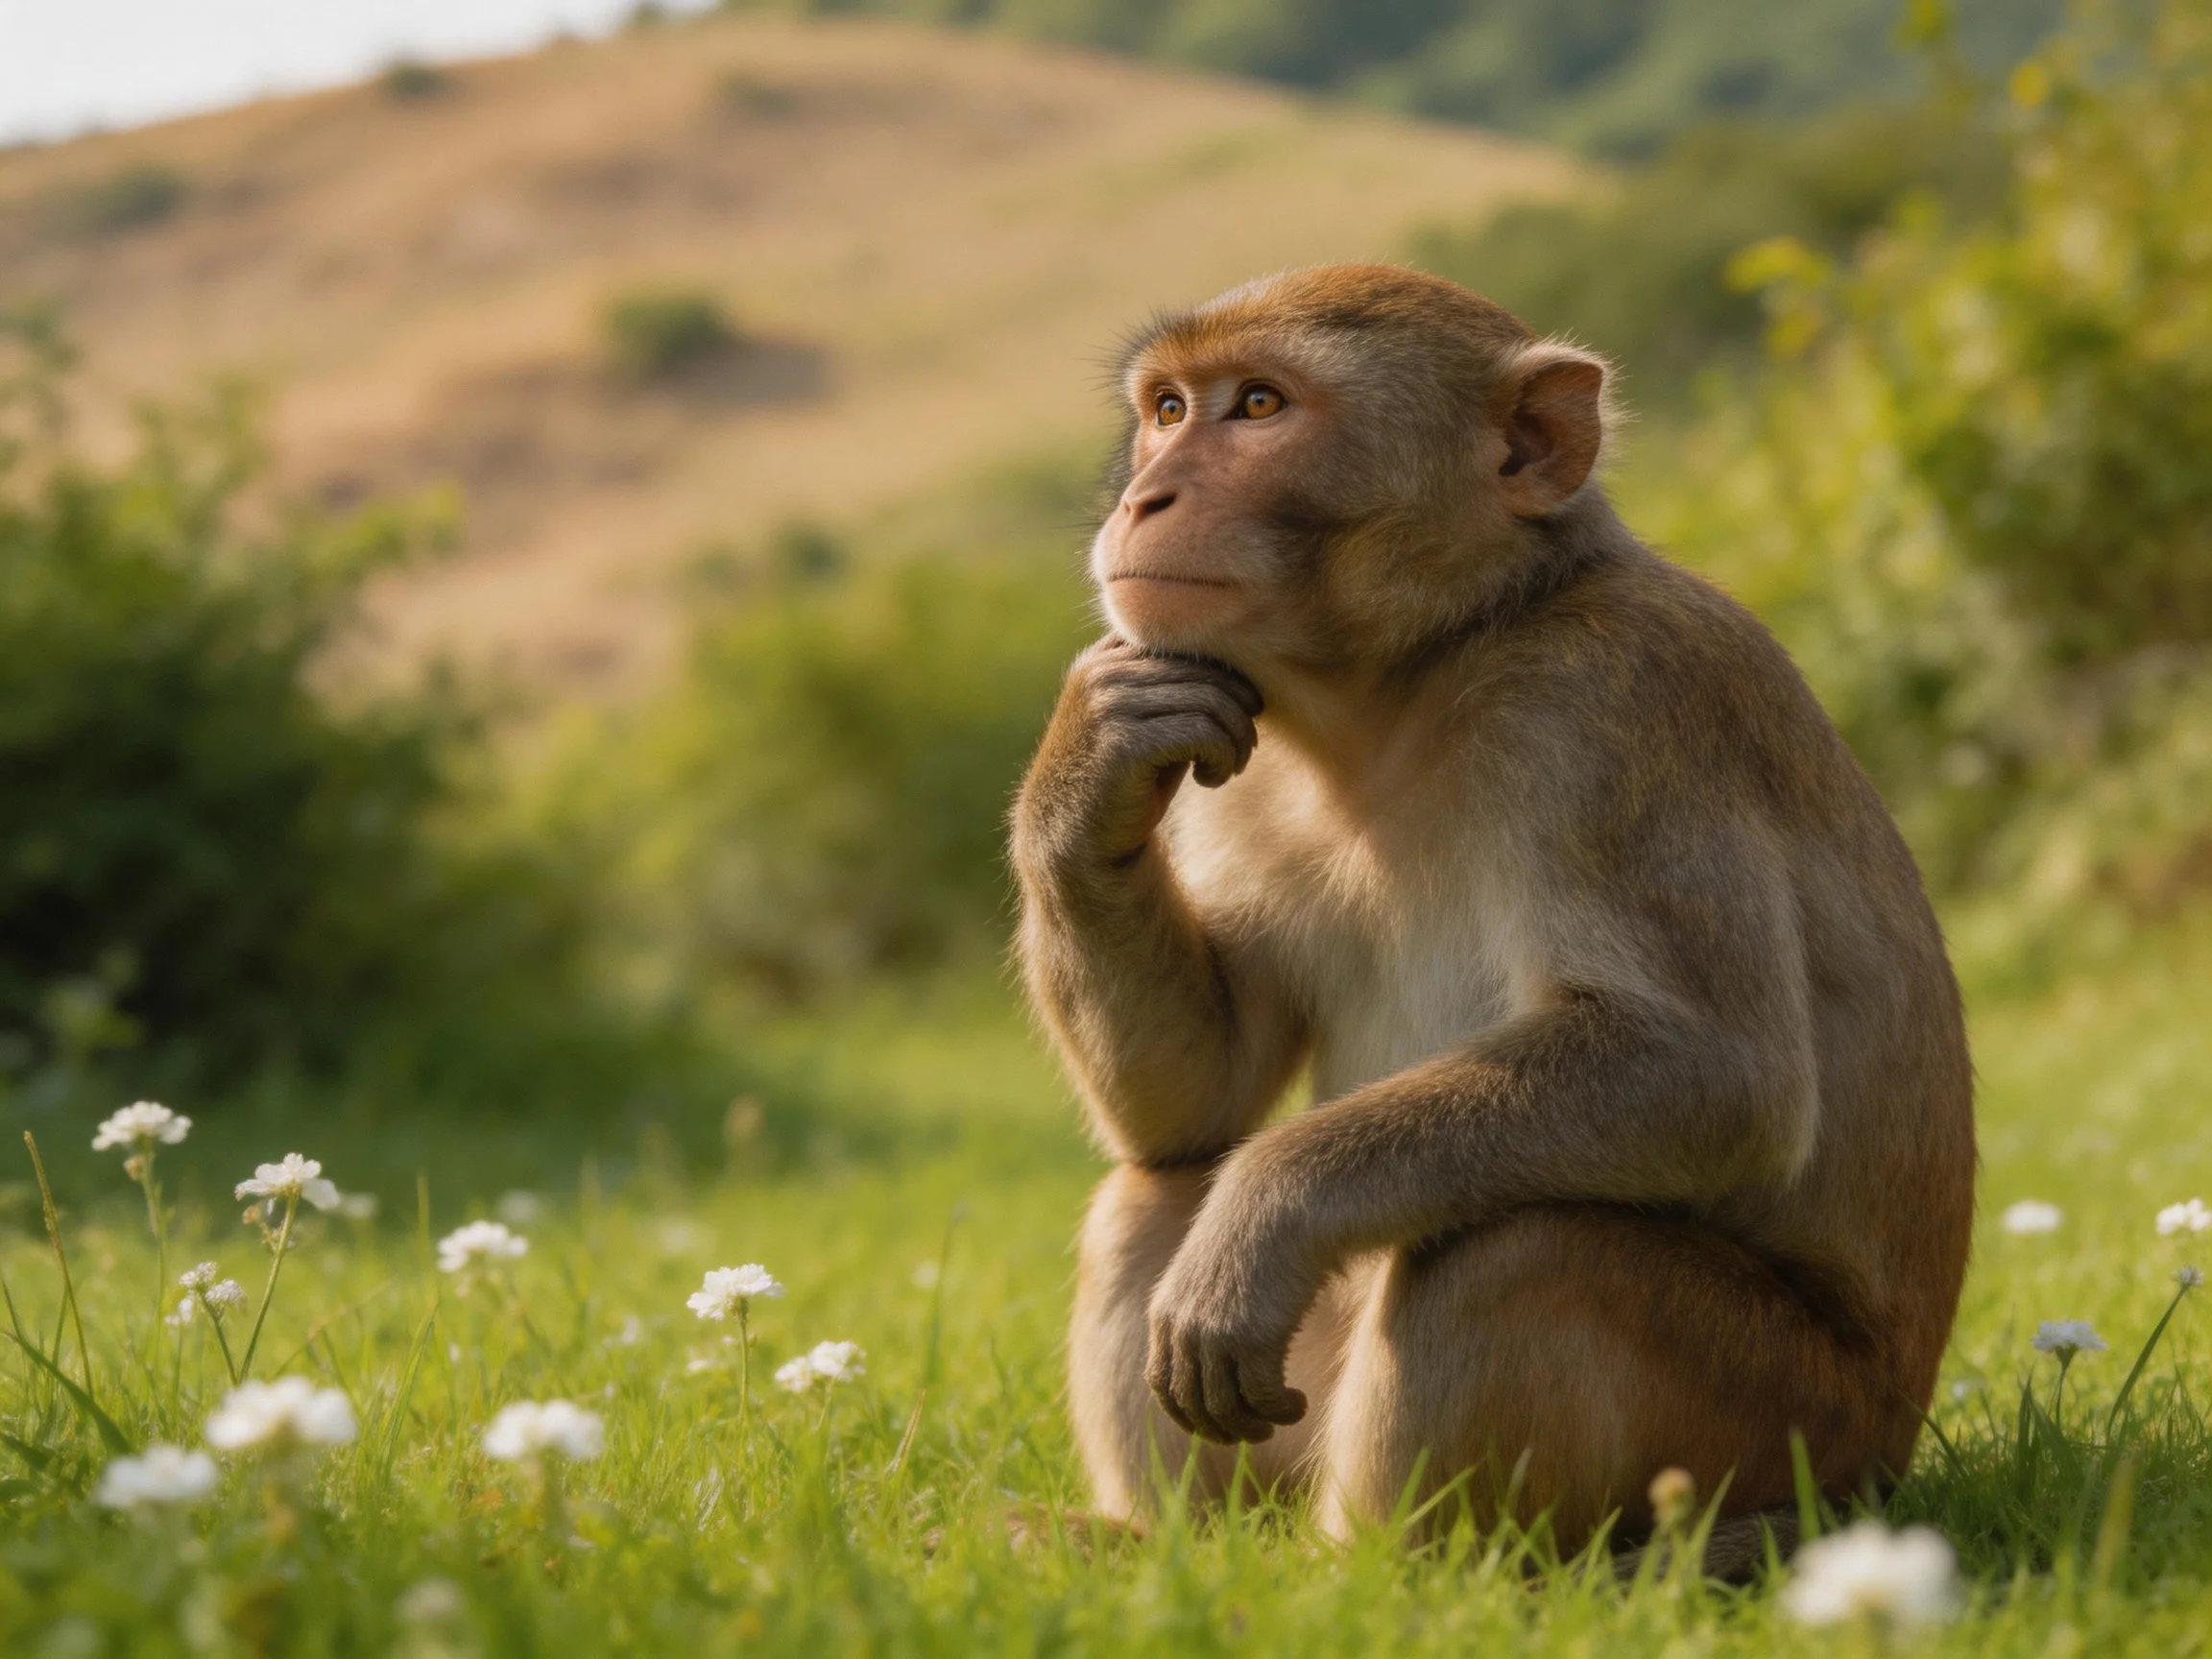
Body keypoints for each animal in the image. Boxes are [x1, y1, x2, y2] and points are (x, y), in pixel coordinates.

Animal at [1009, 264, 1975, 1560]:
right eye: (1167, 410)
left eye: (1259, 405)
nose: (1144, 496)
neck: (1406, 687)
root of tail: (1888, 1454)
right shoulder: (1237, 766)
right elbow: (1201, 1098)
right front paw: (1086, 770)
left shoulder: (1605, 703)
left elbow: (1716, 1067)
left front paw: (1264, 1212)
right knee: (1155, 1185)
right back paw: (1167, 1552)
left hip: (1795, 1425)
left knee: (1518, 1247)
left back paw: (1381, 1577)